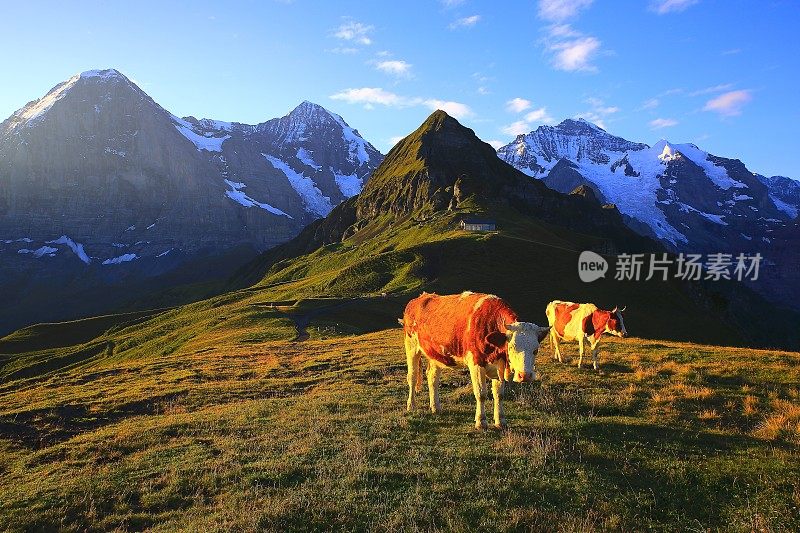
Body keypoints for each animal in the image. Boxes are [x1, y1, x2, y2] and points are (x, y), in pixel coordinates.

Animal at [400, 290, 552, 428]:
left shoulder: (499, 365)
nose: (524, 376)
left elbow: (499, 394)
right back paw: (411, 405)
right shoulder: (476, 363)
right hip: (411, 346)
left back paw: (436, 407)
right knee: (412, 377)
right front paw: (481, 421)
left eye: (536, 350)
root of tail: (420, 298)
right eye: (512, 347)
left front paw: (500, 421)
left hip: (436, 354)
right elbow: (481, 393)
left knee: (432, 377)